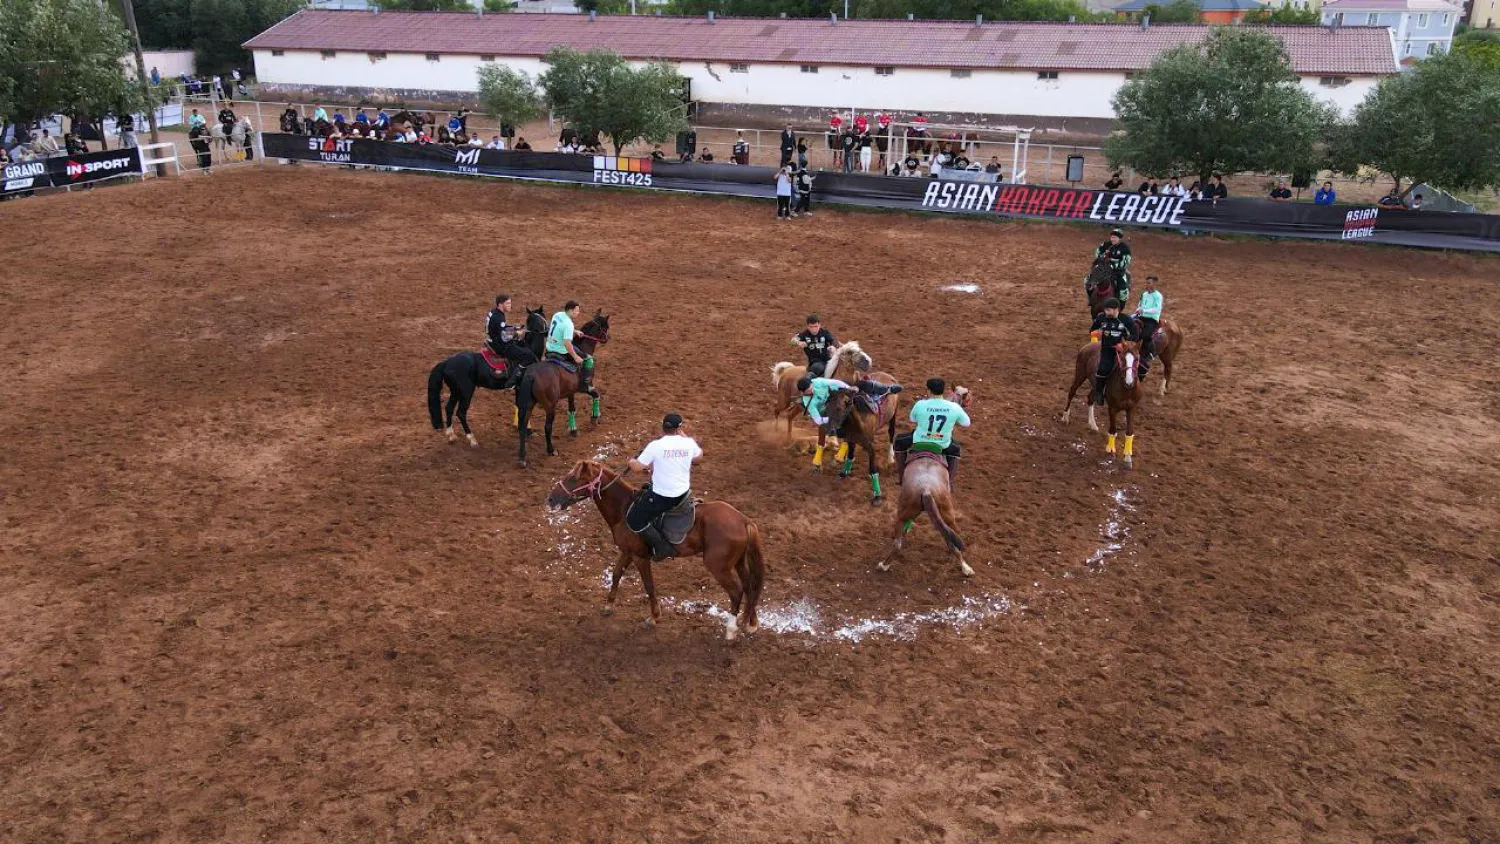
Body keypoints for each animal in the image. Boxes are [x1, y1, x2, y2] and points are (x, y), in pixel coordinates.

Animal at [426, 307, 549, 446]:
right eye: (544, 316)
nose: (549, 331)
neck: (529, 348)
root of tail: (447, 362)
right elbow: (523, 407)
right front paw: (528, 431)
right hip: (466, 392)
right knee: (461, 413)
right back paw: (472, 439)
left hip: (456, 391)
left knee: (448, 408)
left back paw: (451, 435)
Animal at [516, 311, 609, 467]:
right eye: (606, 327)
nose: (608, 338)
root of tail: (531, 374)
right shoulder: (586, 387)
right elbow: (596, 395)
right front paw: (594, 418)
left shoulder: (570, 392)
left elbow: (571, 409)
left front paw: (573, 430)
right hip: (549, 406)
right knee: (547, 427)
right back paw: (551, 450)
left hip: (528, 404)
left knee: (522, 428)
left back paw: (522, 457)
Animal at [546, 461, 768, 641]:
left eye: (573, 478)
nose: (551, 499)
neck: (624, 509)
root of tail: (743, 520)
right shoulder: (627, 552)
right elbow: (616, 574)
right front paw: (608, 606)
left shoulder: (640, 557)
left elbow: (649, 585)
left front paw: (653, 617)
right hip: (738, 563)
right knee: (750, 587)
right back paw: (751, 623)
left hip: (718, 567)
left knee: (737, 591)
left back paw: (731, 630)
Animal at [822, 373, 900, 506]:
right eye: (826, 407)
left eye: (839, 408)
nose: (830, 431)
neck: (856, 422)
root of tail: (888, 375)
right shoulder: (850, 440)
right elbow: (849, 457)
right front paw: (844, 473)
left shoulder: (870, 446)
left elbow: (872, 469)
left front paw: (877, 495)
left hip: (893, 417)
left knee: (891, 434)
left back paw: (890, 457)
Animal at [1062, 338, 1140, 467]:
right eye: (1122, 358)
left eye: (1137, 358)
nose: (1129, 382)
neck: (1126, 388)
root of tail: (1088, 345)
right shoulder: (1112, 408)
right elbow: (1112, 430)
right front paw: (1111, 451)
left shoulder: (1131, 408)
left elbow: (1129, 432)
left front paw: (1128, 458)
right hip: (1080, 374)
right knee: (1072, 392)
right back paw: (1065, 416)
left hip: (1094, 386)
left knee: (1090, 398)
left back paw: (1092, 424)